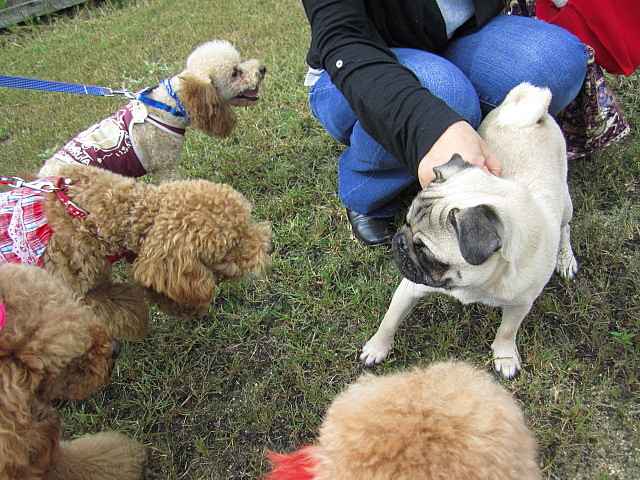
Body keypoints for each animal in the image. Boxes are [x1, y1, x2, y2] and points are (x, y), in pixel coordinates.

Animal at [360, 83, 578, 379]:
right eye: (405, 223)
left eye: (427, 255)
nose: (400, 243)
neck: (476, 284)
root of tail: (531, 114)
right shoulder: (410, 286)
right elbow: (390, 319)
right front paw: (377, 346)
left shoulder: (521, 304)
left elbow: (507, 330)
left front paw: (505, 356)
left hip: (565, 200)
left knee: (565, 227)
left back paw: (565, 258)